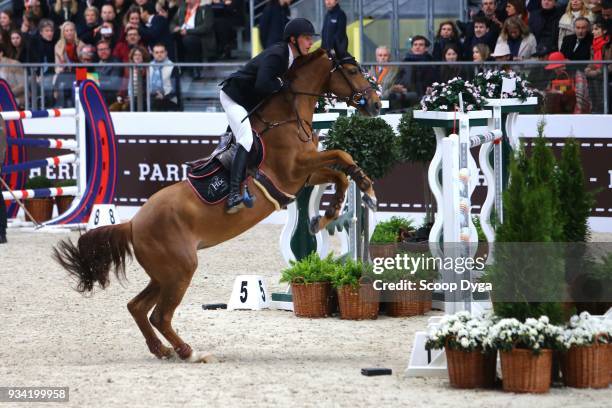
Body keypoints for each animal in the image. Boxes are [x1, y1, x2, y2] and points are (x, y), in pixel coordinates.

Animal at [56, 48, 382, 364]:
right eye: (352, 70)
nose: (376, 104)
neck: (287, 120)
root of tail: (132, 223)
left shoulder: (304, 176)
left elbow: (340, 170)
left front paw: (343, 204)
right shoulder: (294, 170)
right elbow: (340, 155)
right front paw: (357, 196)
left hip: (164, 275)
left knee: (137, 306)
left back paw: (162, 350)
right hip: (180, 270)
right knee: (160, 315)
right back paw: (190, 352)